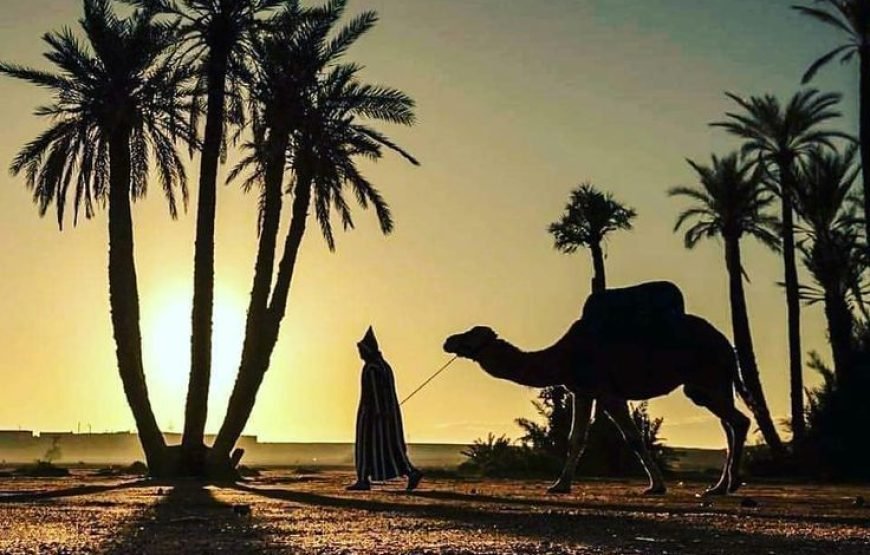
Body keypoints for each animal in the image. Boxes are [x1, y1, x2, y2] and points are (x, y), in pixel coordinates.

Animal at [446, 294, 752, 498]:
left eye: (471, 335)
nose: (448, 341)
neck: (562, 357)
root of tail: (726, 343)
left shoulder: (606, 392)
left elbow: (634, 438)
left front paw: (656, 486)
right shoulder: (582, 391)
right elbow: (575, 439)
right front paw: (560, 485)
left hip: (706, 376)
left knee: (739, 421)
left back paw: (726, 485)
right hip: (714, 381)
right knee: (728, 424)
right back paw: (721, 486)